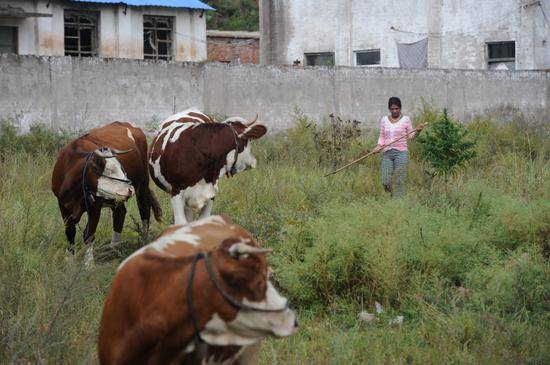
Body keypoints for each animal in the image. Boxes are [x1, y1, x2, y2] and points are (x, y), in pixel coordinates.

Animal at [51, 121, 164, 262]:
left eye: (121, 167)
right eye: (109, 170)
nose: (129, 189)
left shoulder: (95, 206)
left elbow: (89, 233)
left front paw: (89, 263)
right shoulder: (62, 204)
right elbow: (69, 231)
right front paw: (69, 258)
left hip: (142, 184)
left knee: (144, 209)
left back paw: (143, 239)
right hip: (118, 197)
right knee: (120, 213)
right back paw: (114, 247)